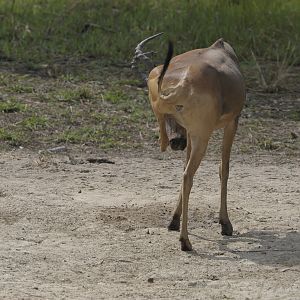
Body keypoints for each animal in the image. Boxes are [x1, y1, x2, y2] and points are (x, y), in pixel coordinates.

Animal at [132, 33, 245, 251]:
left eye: (168, 112)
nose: (176, 142)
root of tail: (180, 86)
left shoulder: (190, 133)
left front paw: (173, 220)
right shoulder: (231, 123)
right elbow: (223, 169)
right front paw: (225, 224)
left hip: (195, 136)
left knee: (185, 173)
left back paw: (177, 227)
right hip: (203, 136)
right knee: (188, 177)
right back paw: (185, 242)